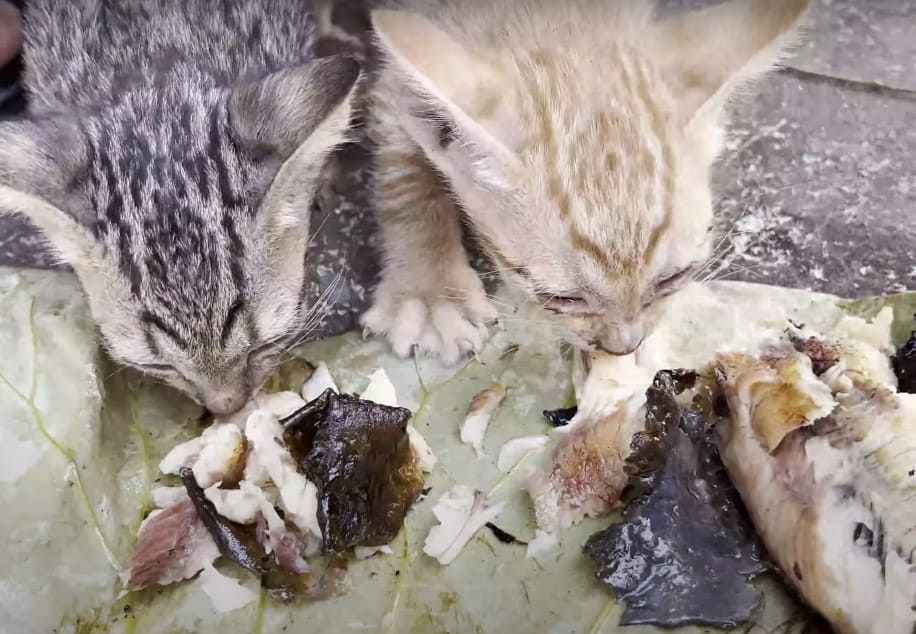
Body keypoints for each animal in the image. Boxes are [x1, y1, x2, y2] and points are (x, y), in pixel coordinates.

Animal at [362, 0, 812, 362]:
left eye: (673, 278)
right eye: (563, 298)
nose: (624, 346)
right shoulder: (393, 84)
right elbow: (402, 177)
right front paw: (429, 292)